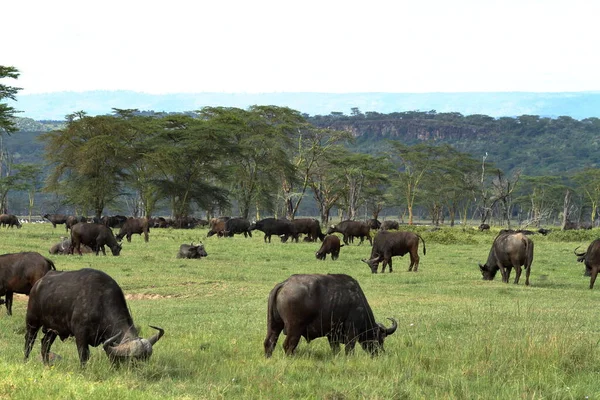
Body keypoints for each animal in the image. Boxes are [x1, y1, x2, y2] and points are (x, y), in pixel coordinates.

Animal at [23, 268, 164, 366]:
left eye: (146, 359)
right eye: (133, 360)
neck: (100, 302)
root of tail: (38, 284)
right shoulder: (80, 335)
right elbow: (84, 356)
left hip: (52, 329)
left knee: (45, 344)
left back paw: (46, 365)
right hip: (32, 322)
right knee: (29, 342)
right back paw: (25, 361)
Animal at [264, 276, 396, 356]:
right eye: (380, 338)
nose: (380, 353)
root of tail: (284, 284)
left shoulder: (332, 335)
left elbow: (335, 349)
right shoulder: (351, 330)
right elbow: (349, 348)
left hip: (274, 325)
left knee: (269, 342)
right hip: (294, 328)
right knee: (288, 346)